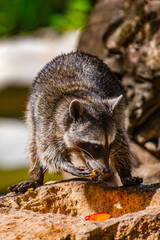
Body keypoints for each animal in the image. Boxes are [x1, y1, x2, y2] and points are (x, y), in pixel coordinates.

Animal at [9, 50, 142, 193]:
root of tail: (73, 53)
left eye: (110, 144)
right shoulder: (45, 121)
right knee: (34, 143)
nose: (106, 170)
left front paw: (124, 172)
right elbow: (47, 152)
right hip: (32, 111)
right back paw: (36, 176)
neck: (79, 95)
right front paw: (67, 165)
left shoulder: (116, 115)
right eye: (95, 147)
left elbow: (121, 141)